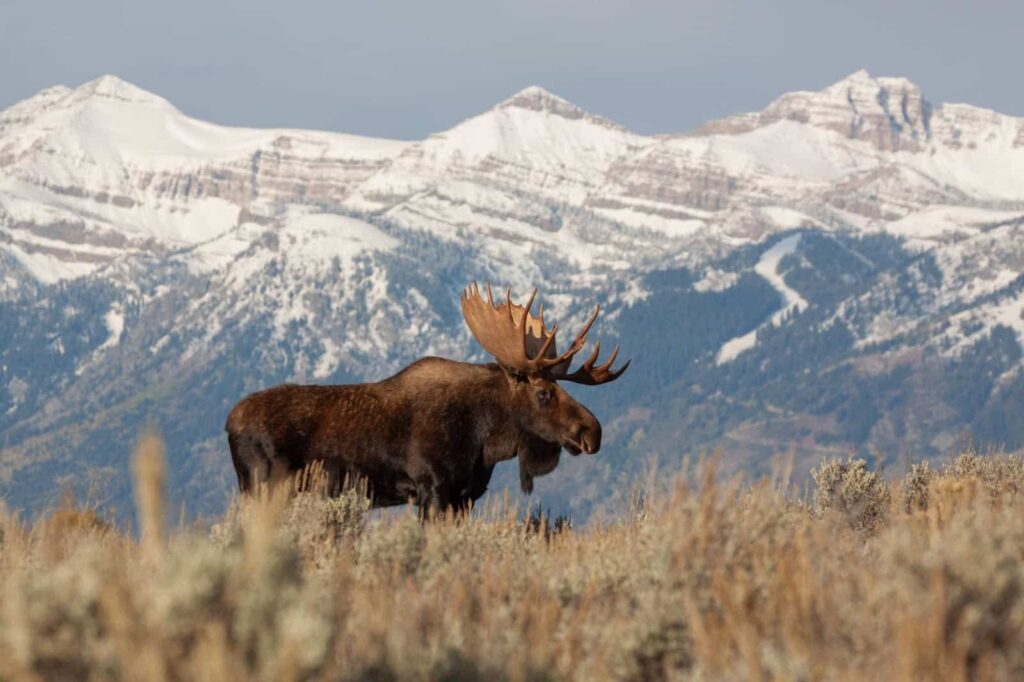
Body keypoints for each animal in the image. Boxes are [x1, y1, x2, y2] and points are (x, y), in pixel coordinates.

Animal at [225, 283, 629, 514]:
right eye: (544, 392)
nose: (593, 432)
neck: (485, 440)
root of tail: (228, 422)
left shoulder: (466, 496)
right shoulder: (433, 489)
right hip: (262, 487)